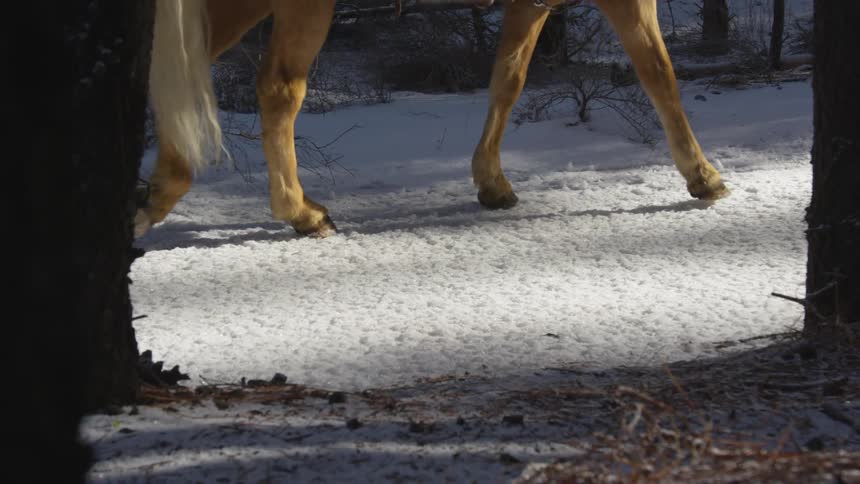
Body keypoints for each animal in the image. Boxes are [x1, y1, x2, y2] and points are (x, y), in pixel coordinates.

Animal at [140, 0, 728, 238]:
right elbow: (659, 73)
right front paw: (702, 176)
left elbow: (509, 78)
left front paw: (491, 181)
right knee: (276, 89)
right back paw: (299, 212)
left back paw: (158, 192)